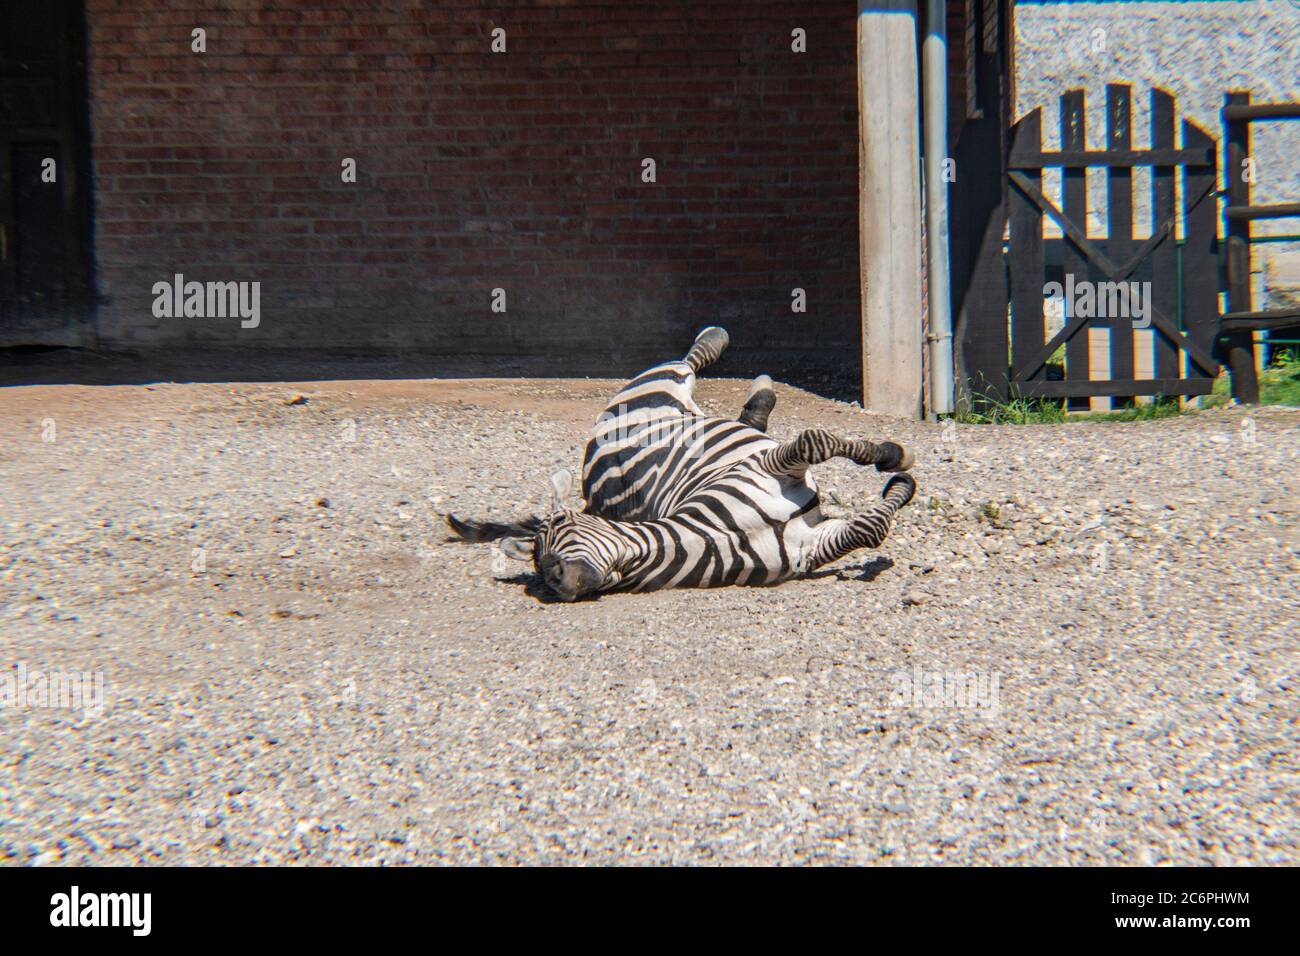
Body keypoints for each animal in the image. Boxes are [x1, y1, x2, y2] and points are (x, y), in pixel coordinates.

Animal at [447, 327, 917, 601]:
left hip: (655, 389)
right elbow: (870, 527)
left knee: (689, 360)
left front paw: (893, 459)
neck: (711, 535)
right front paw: (900, 486)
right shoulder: (809, 546)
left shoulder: (769, 465)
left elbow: (817, 439)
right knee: (746, 412)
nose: (554, 577)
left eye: (559, 529)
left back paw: (723, 345)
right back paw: (761, 389)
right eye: (537, 566)